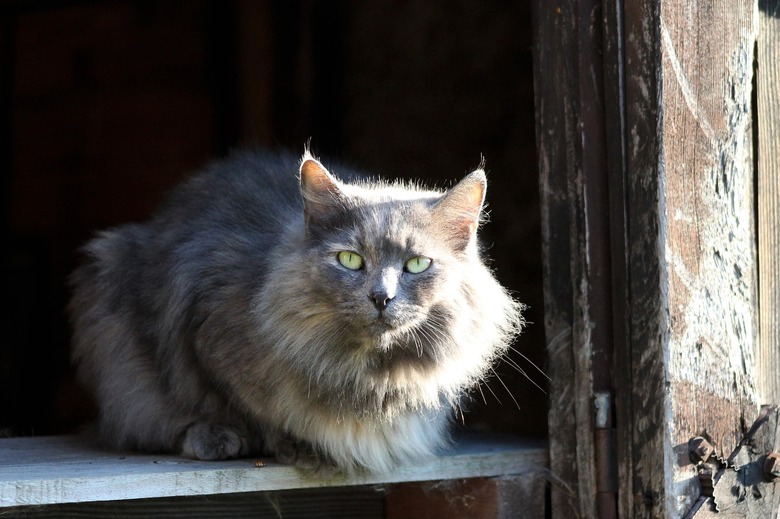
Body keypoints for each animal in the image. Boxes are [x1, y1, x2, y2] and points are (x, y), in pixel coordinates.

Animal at [70, 148, 528, 474]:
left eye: (416, 265)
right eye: (350, 260)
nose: (381, 297)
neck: (362, 373)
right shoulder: (202, 325)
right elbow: (235, 402)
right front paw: (289, 445)